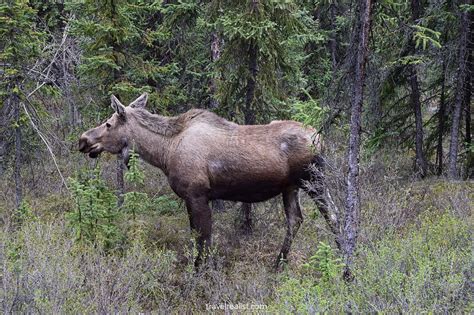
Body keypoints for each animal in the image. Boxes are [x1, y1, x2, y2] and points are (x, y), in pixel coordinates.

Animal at [78, 94, 336, 270]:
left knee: (332, 216)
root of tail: (322, 140)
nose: (83, 140)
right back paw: (278, 262)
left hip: (314, 180)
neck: (164, 153)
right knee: (296, 219)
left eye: (109, 123)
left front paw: (199, 270)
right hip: (291, 187)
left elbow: (200, 237)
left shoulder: (196, 194)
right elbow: (204, 237)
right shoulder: (203, 197)